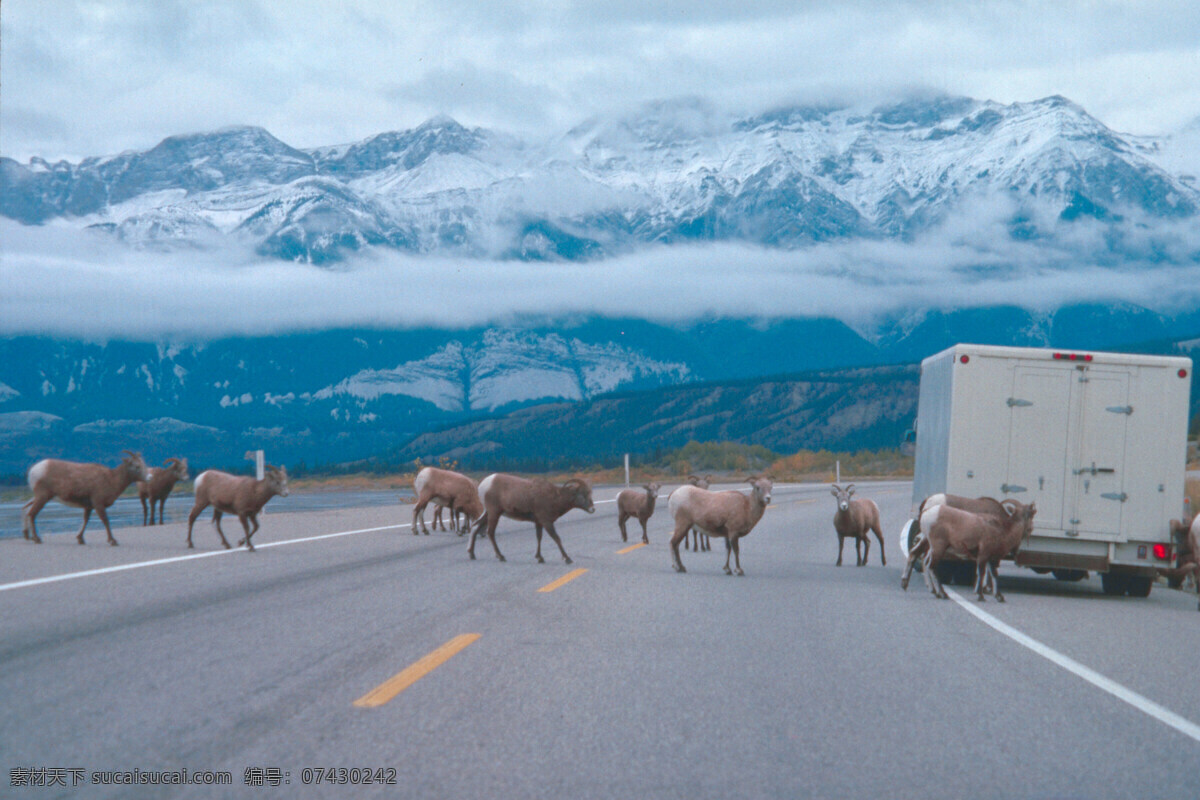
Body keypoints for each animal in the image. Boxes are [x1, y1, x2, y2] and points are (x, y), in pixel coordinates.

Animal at [21, 450, 150, 544]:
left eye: (144, 464)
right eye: (137, 466)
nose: (149, 477)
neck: (112, 480)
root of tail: (34, 470)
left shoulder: (89, 506)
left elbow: (85, 520)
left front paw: (80, 539)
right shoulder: (98, 504)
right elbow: (105, 520)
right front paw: (112, 541)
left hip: (40, 497)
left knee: (26, 509)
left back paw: (28, 536)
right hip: (43, 497)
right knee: (32, 513)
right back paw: (37, 539)